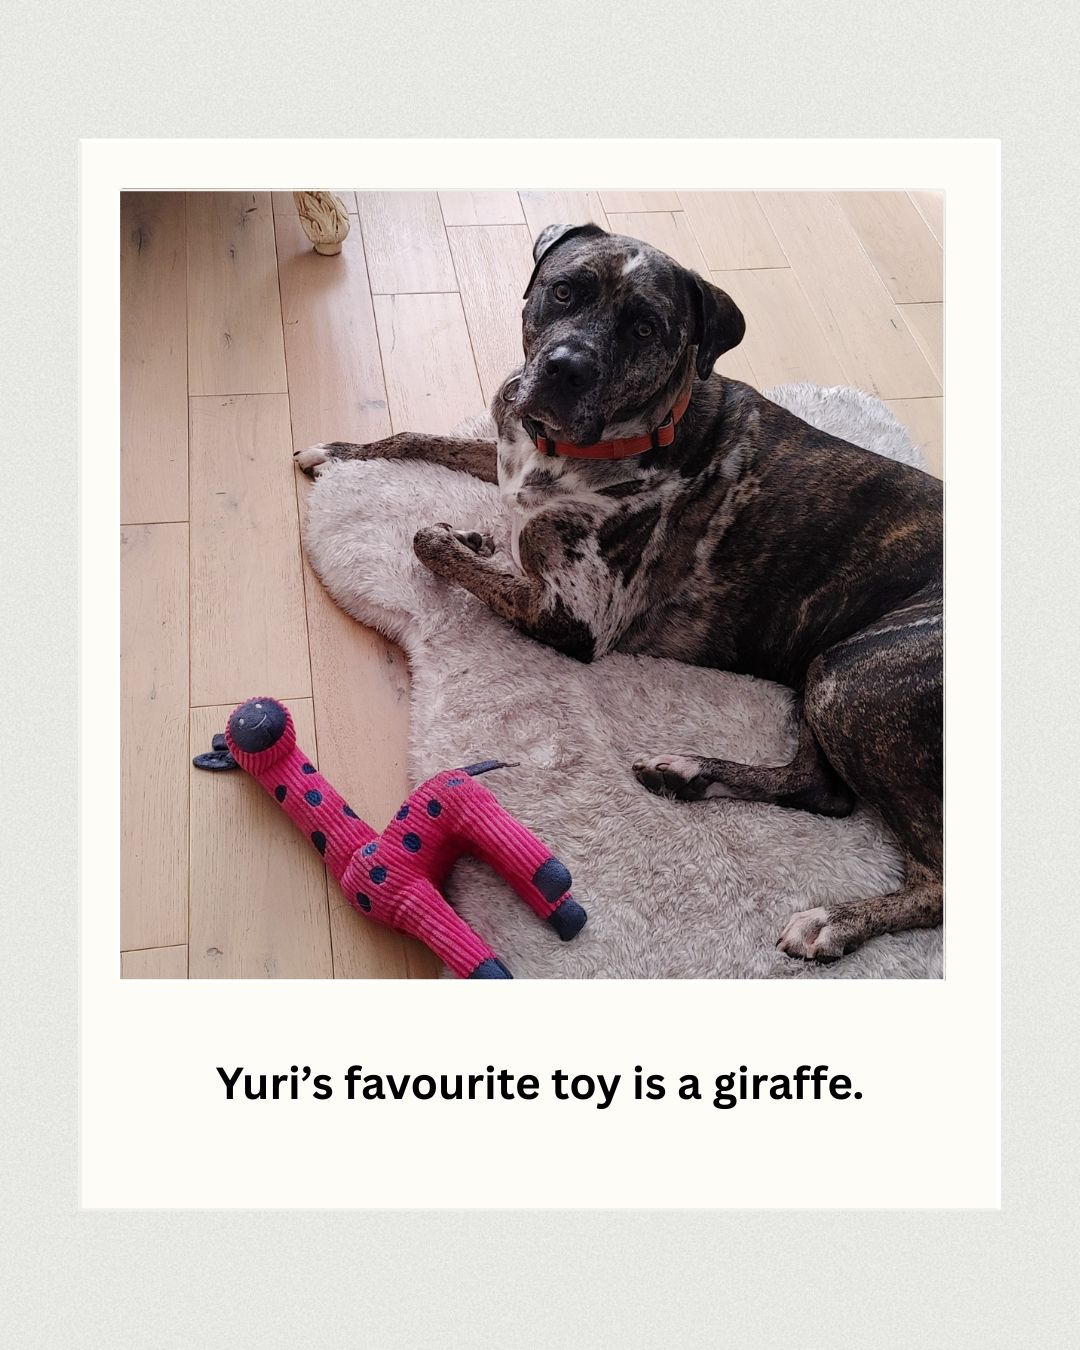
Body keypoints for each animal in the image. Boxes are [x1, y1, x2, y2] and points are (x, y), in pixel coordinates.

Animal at [296, 221, 943, 962]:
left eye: (643, 327)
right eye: (563, 291)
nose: (566, 367)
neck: (583, 447)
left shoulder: (573, 617)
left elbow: (429, 541)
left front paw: (465, 539)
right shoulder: (504, 454)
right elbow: (420, 438)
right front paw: (341, 454)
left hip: (852, 676)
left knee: (932, 874)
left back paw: (832, 920)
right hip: (825, 672)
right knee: (824, 790)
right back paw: (687, 773)